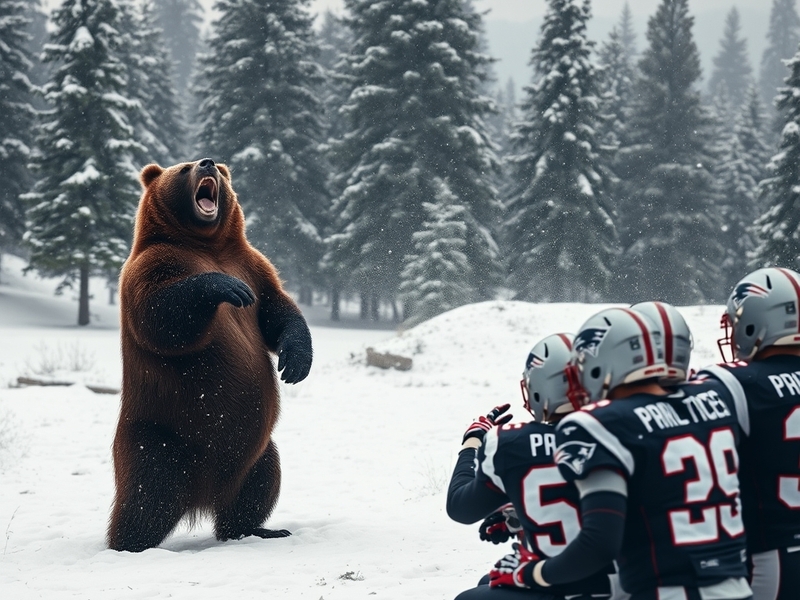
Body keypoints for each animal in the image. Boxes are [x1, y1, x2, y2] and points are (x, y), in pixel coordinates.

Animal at [108, 158, 312, 552]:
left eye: (215, 165)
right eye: (184, 168)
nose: (207, 162)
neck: (206, 245)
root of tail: (202, 497)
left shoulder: (254, 264)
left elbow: (277, 310)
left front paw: (296, 362)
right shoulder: (153, 265)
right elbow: (160, 315)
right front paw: (226, 287)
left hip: (254, 452)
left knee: (260, 482)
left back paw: (257, 528)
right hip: (160, 434)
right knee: (148, 494)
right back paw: (128, 544)